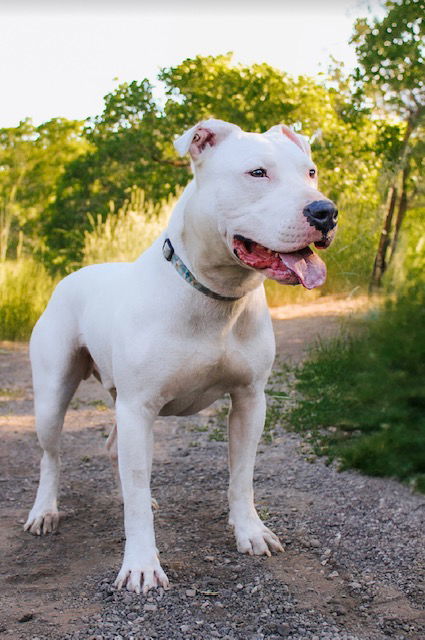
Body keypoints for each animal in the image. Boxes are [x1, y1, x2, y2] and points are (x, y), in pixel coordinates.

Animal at [24, 119, 338, 596]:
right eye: (257, 173)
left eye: (311, 172)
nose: (325, 212)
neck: (215, 295)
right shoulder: (139, 408)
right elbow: (137, 498)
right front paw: (141, 565)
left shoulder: (250, 400)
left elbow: (241, 477)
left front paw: (250, 531)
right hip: (52, 395)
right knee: (51, 456)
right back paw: (44, 510)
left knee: (114, 450)